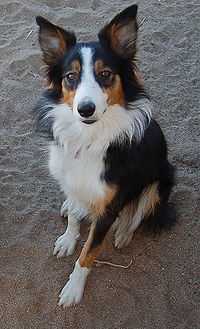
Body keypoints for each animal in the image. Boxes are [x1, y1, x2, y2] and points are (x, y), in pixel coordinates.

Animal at [34, 5, 175, 306]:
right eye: (71, 77)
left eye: (106, 74)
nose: (85, 109)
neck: (89, 137)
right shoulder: (71, 178)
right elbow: (75, 218)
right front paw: (68, 238)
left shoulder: (110, 205)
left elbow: (88, 253)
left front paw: (73, 289)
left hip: (162, 179)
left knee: (139, 212)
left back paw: (122, 233)